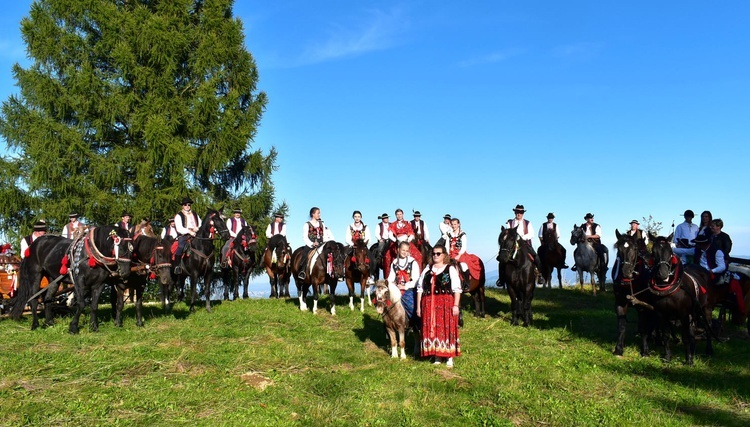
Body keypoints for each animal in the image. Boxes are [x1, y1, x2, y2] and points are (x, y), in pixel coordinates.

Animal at [648, 232, 712, 366]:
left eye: (670, 251)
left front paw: (689, 359)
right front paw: (667, 357)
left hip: (706, 308)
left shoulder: (683, 314)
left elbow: (685, 337)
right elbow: (666, 335)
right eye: (653, 252)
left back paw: (709, 350)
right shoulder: (662, 314)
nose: (663, 273)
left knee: (708, 327)